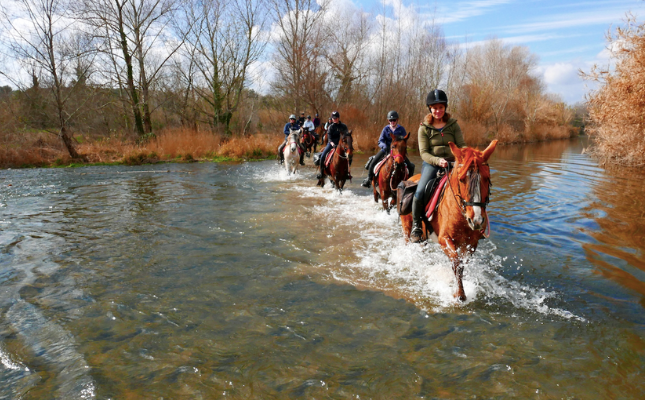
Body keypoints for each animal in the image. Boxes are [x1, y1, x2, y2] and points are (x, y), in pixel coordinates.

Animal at [398, 140, 498, 300]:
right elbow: (456, 263)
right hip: (407, 226)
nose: (476, 220)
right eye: (462, 179)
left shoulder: (471, 243)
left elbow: (462, 264)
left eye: (487, 178)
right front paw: (460, 295)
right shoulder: (444, 239)